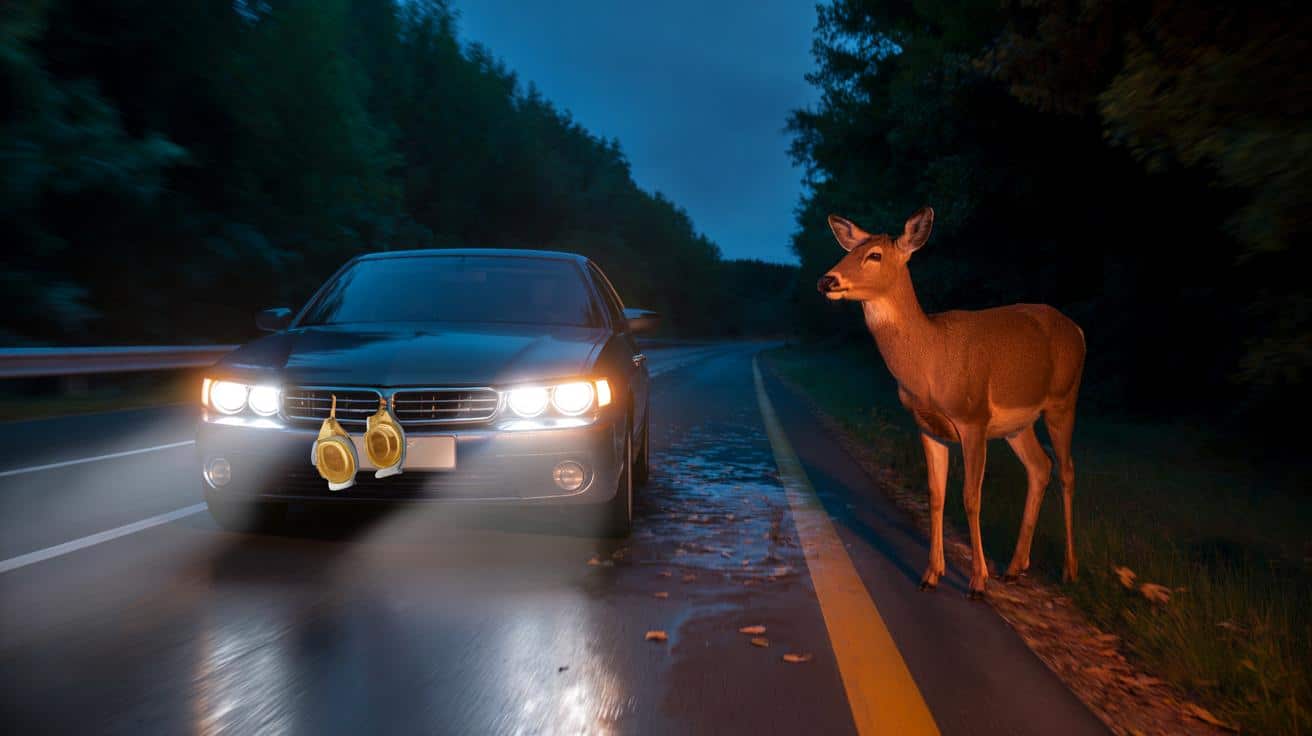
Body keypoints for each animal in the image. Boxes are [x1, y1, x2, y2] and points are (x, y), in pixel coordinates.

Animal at [817, 207, 1085, 599]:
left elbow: (971, 498)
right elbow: (936, 495)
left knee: (1067, 470)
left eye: (874, 255)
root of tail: (1078, 331)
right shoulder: (927, 426)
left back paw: (1069, 570)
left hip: (1063, 400)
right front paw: (931, 574)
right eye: (850, 250)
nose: (827, 281)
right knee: (1040, 467)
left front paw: (978, 582)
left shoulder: (972, 418)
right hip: (1018, 424)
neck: (928, 361)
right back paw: (1015, 568)